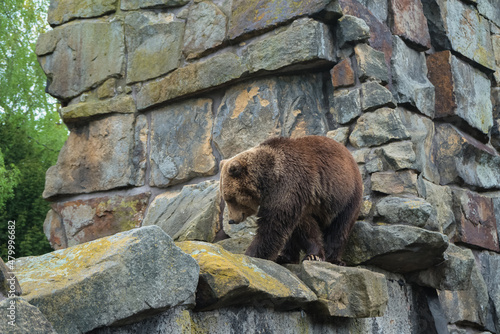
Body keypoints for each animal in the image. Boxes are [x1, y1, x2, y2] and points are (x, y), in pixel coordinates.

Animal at [221, 135, 362, 264]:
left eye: (230, 199)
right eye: (226, 198)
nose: (231, 220)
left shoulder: (288, 186)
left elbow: (273, 224)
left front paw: (252, 254)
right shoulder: (297, 198)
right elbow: (301, 228)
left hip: (346, 195)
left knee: (340, 227)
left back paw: (332, 258)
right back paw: (285, 256)